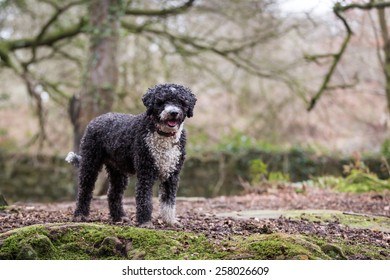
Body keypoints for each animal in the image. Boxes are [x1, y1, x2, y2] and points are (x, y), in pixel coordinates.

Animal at [66, 83, 198, 228]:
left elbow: (169, 200)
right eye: (161, 101)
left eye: (181, 102)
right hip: (90, 163)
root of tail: (97, 119)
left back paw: (120, 217)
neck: (163, 135)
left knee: (113, 193)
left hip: (118, 171)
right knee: (85, 190)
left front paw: (170, 221)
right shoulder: (146, 171)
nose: (173, 112)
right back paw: (80, 215)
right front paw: (145, 222)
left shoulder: (172, 173)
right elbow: (145, 198)